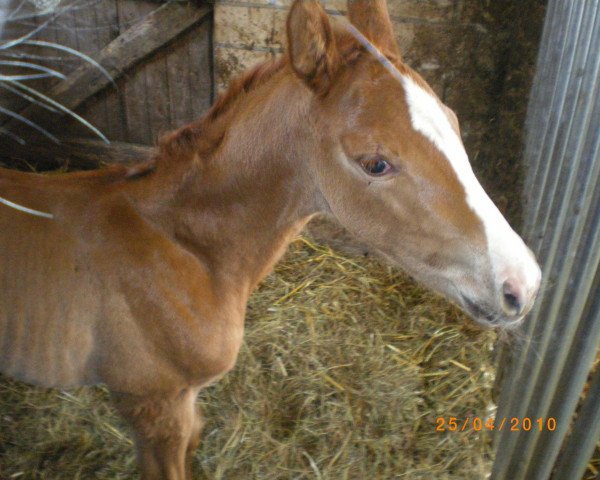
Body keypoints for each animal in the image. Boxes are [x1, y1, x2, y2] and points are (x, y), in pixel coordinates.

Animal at [0, 1, 540, 478]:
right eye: (375, 163)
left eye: (454, 122)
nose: (523, 285)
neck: (183, 249)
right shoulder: (154, 407)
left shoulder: (187, 404)